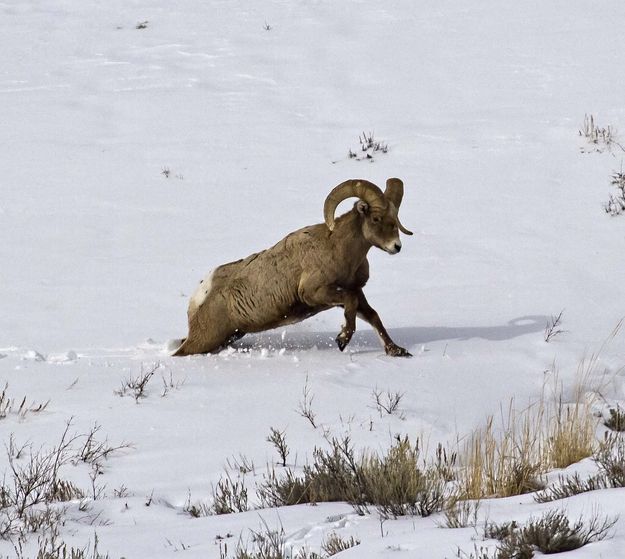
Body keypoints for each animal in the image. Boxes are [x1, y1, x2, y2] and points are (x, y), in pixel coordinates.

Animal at [173, 177, 412, 356]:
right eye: (376, 218)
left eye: (395, 218)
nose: (396, 246)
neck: (337, 248)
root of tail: (199, 295)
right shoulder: (316, 293)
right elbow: (350, 303)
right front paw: (342, 340)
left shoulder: (355, 291)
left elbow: (372, 316)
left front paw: (396, 351)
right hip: (205, 340)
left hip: (229, 336)